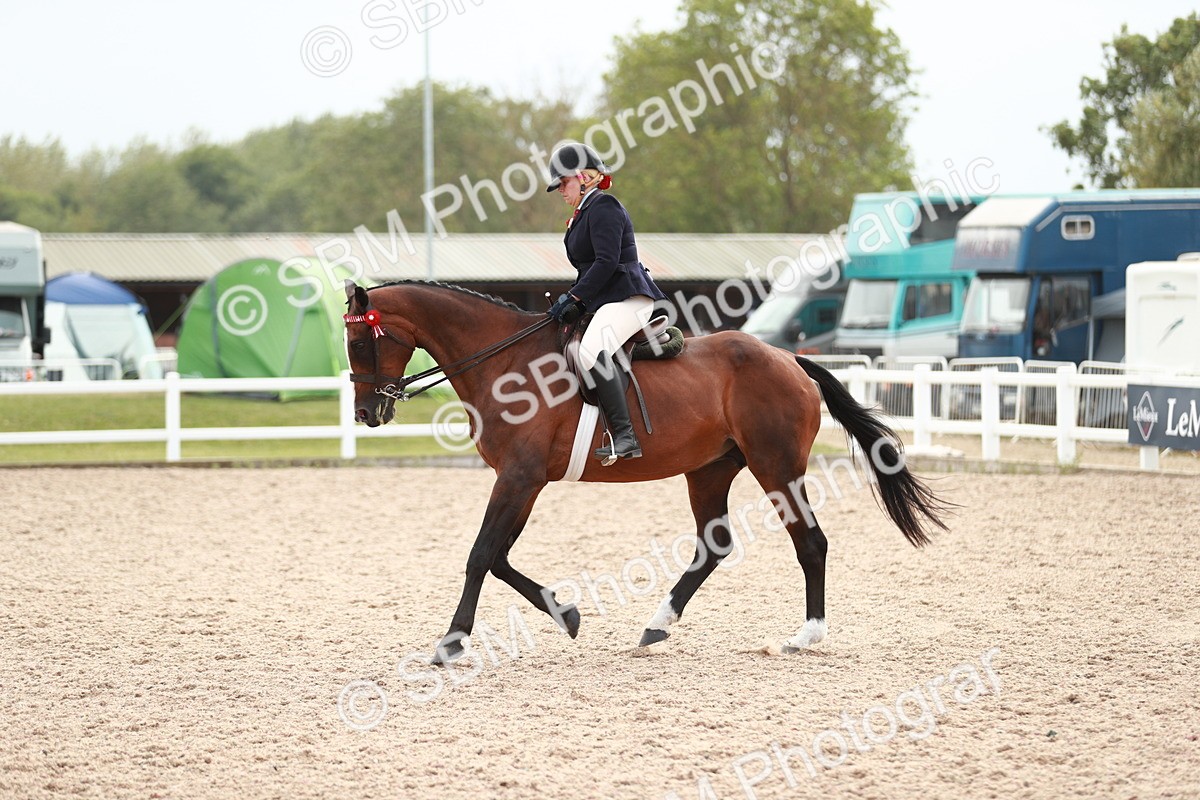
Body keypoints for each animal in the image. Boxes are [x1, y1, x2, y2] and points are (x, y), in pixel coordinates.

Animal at [343, 280, 948, 663]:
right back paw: (658, 623)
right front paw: (566, 614)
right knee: (715, 545)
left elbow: (480, 555)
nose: (367, 414)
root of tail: (788, 358)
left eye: (360, 341)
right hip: (711, 470)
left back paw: (806, 636)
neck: (504, 362)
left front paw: (451, 642)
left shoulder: (518, 477)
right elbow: (498, 557)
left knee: (810, 542)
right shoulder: (524, 480)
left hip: (776, 467)